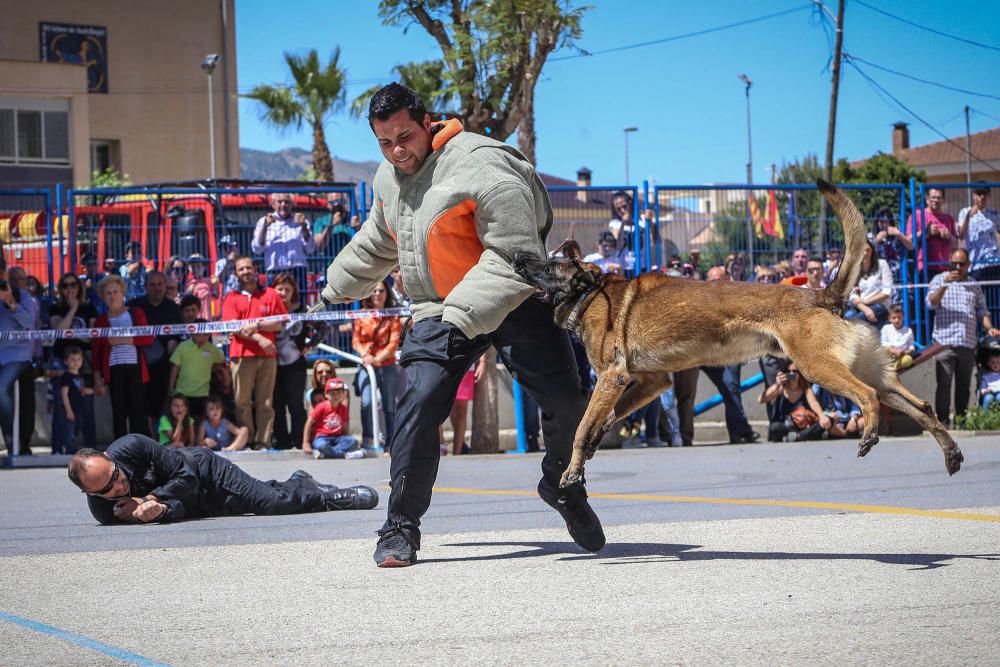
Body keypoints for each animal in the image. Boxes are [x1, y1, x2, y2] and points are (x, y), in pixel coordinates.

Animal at [512, 180, 964, 488]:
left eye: (550, 266)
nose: (516, 258)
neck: (589, 293)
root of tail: (821, 293)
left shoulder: (612, 377)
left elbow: (581, 427)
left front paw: (572, 470)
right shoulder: (651, 382)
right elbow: (605, 418)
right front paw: (596, 445)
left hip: (817, 367)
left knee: (867, 397)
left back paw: (869, 433)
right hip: (869, 371)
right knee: (922, 406)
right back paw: (952, 453)